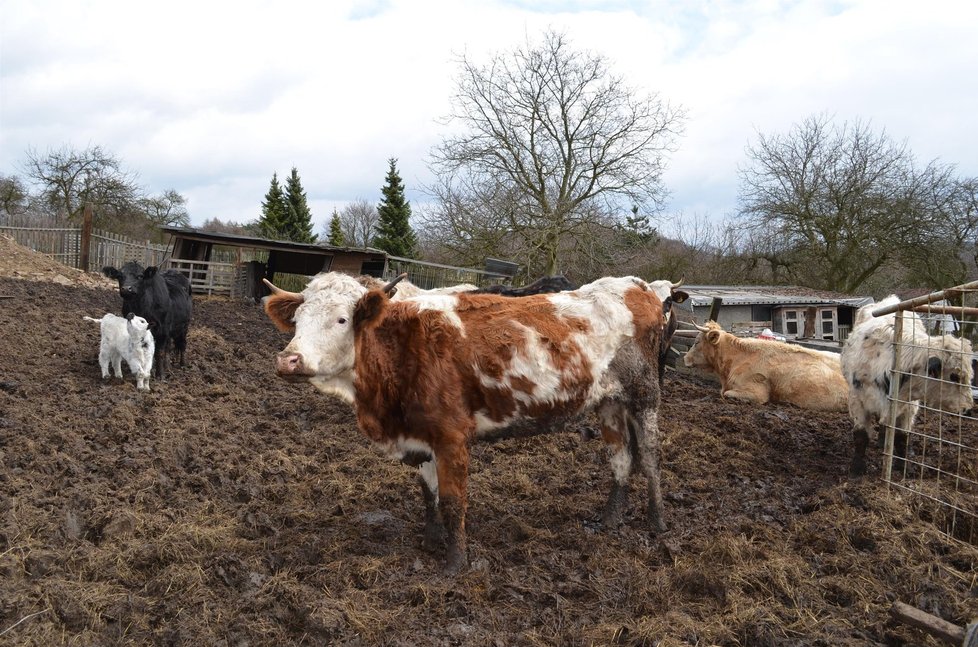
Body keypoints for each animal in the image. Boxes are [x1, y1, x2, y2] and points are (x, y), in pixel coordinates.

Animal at [264, 270, 668, 576]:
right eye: (297, 320)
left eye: (341, 319)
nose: (289, 360)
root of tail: (636, 285)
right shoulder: (420, 434)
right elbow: (429, 494)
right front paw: (431, 542)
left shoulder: (452, 437)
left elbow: (453, 502)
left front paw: (454, 564)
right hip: (610, 403)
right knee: (621, 459)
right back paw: (609, 520)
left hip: (645, 395)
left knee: (649, 459)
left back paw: (656, 523)